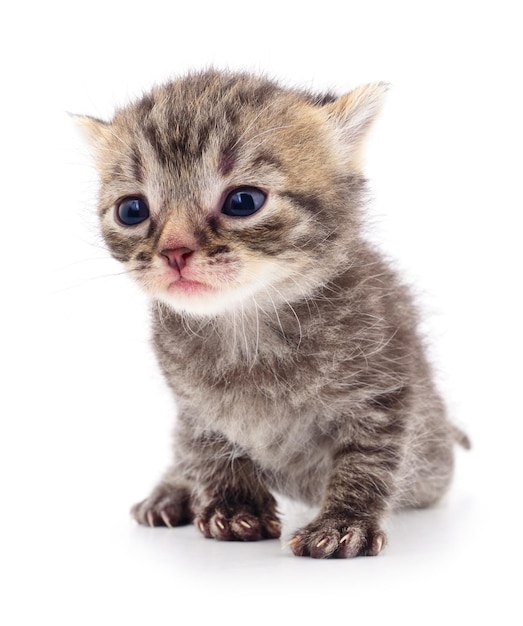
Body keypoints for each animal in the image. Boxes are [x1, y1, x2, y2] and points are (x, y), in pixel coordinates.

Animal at [74, 68, 470, 556]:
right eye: (132, 210)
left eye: (243, 201)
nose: (174, 251)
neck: (247, 325)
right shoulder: (193, 408)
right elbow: (208, 449)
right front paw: (233, 507)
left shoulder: (383, 392)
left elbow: (368, 459)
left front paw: (345, 522)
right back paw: (172, 491)